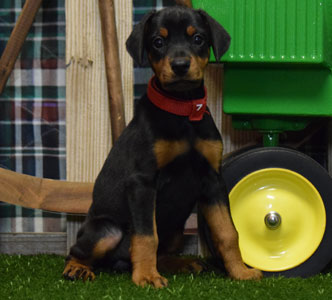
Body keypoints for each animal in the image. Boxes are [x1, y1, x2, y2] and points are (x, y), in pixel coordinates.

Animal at [62, 6, 262, 288]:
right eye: (158, 41)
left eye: (198, 38)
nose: (180, 65)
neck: (183, 110)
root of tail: (119, 264)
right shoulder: (142, 182)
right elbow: (147, 236)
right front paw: (146, 277)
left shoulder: (213, 180)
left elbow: (227, 232)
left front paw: (240, 272)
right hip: (106, 230)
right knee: (77, 251)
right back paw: (78, 269)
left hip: (177, 230)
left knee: (163, 252)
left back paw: (183, 264)